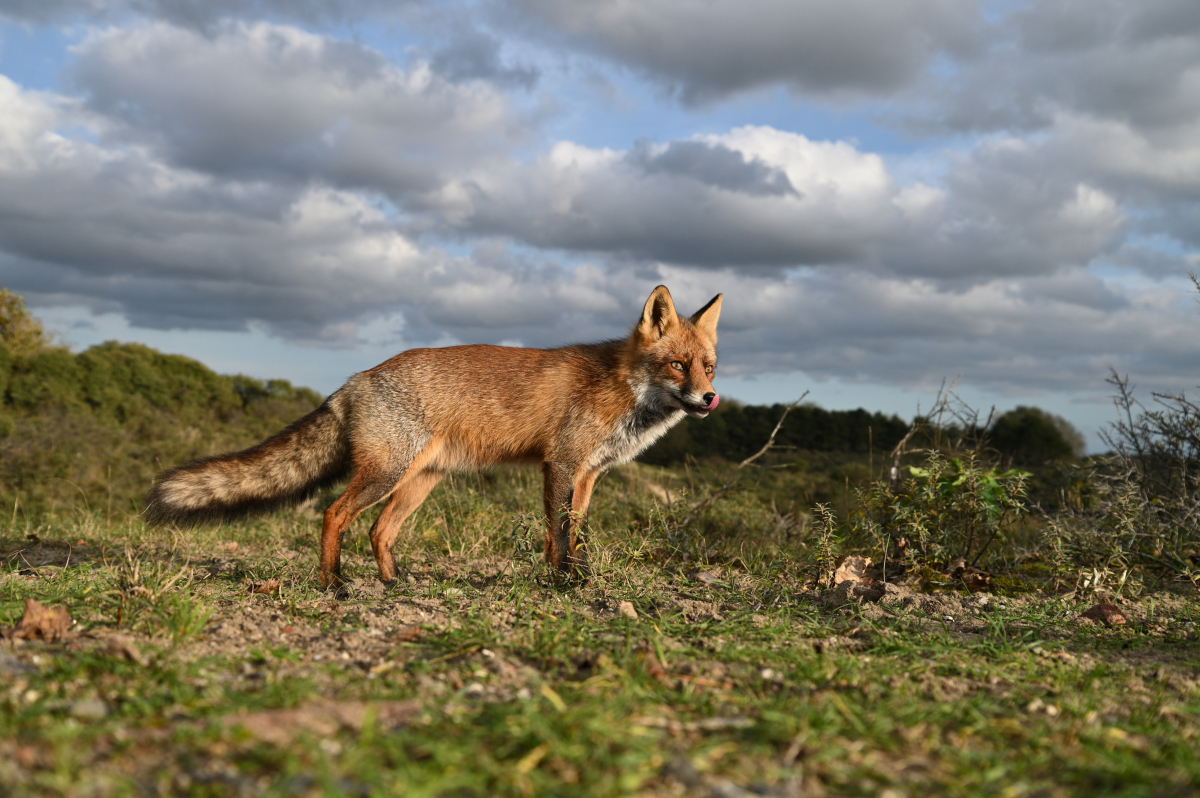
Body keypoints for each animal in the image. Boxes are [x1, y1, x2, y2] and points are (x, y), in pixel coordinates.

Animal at [144, 286, 715, 585]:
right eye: (676, 365)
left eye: (708, 367)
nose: (710, 399)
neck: (620, 388)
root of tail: (355, 379)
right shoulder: (560, 463)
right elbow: (557, 533)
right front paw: (558, 583)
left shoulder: (588, 475)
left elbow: (575, 533)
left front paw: (575, 579)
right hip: (385, 475)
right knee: (333, 514)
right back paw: (333, 585)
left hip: (420, 482)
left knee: (379, 532)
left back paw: (393, 583)